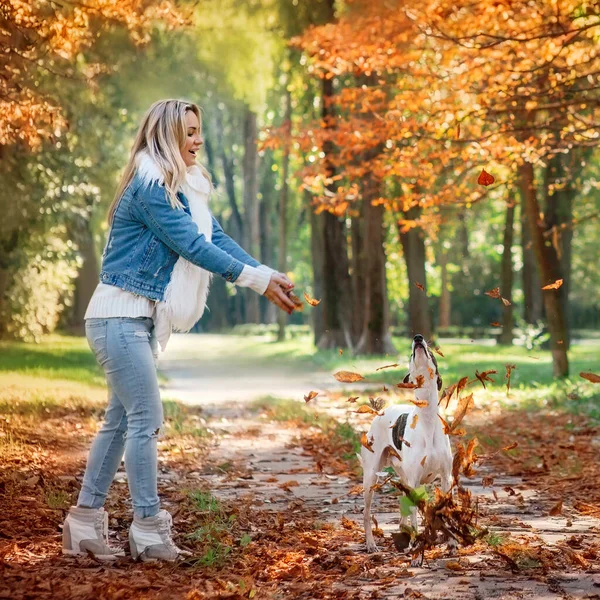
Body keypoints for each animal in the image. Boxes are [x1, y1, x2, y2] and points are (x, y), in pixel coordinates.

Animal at [360, 336, 454, 560]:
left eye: (432, 354)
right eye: (411, 355)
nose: (418, 338)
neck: (427, 422)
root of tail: (383, 411)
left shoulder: (446, 478)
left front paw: (451, 545)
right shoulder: (414, 482)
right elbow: (415, 519)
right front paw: (417, 553)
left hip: (403, 478)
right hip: (371, 478)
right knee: (367, 513)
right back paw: (371, 544)